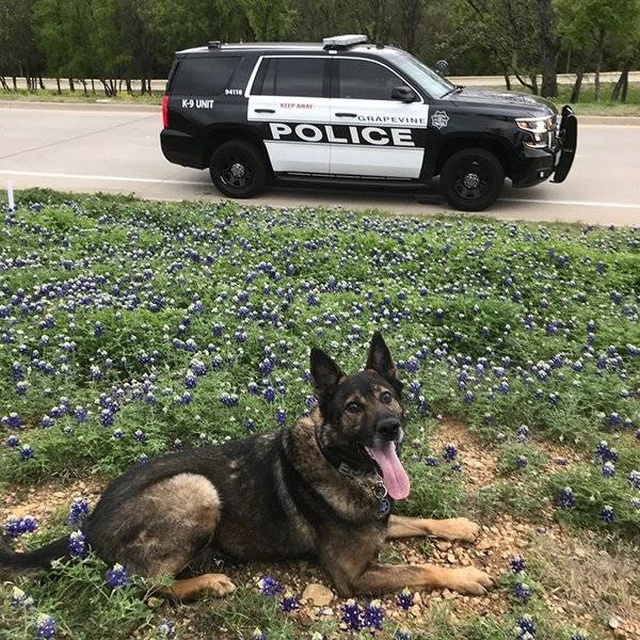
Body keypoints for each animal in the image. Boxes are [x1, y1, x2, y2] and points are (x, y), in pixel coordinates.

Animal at [0, 336, 496, 600]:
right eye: (354, 407)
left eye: (387, 396)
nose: (390, 427)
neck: (340, 464)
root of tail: (87, 524)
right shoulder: (351, 576)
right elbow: (420, 569)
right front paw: (466, 576)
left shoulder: (379, 519)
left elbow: (419, 520)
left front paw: (458, 525)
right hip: (197, 489)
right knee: (142, 584)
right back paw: (208, 581)